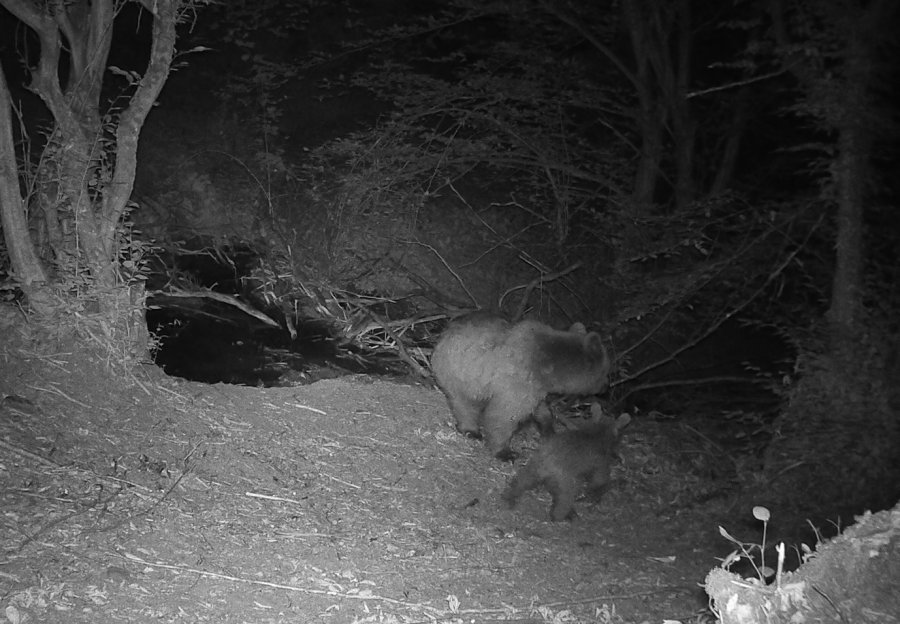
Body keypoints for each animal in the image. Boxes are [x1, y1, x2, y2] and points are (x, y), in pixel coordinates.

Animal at [430, 314, 612, 460]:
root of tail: (443, 335)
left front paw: (548, 429)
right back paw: (471, 430)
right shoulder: (518, 384)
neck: (547, 368)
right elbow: (503, 416)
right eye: (605, 372)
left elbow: (540, 409)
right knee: (465, 403)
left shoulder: (536, 389)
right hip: (461, 373)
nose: (606, 388)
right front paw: (505, 452)